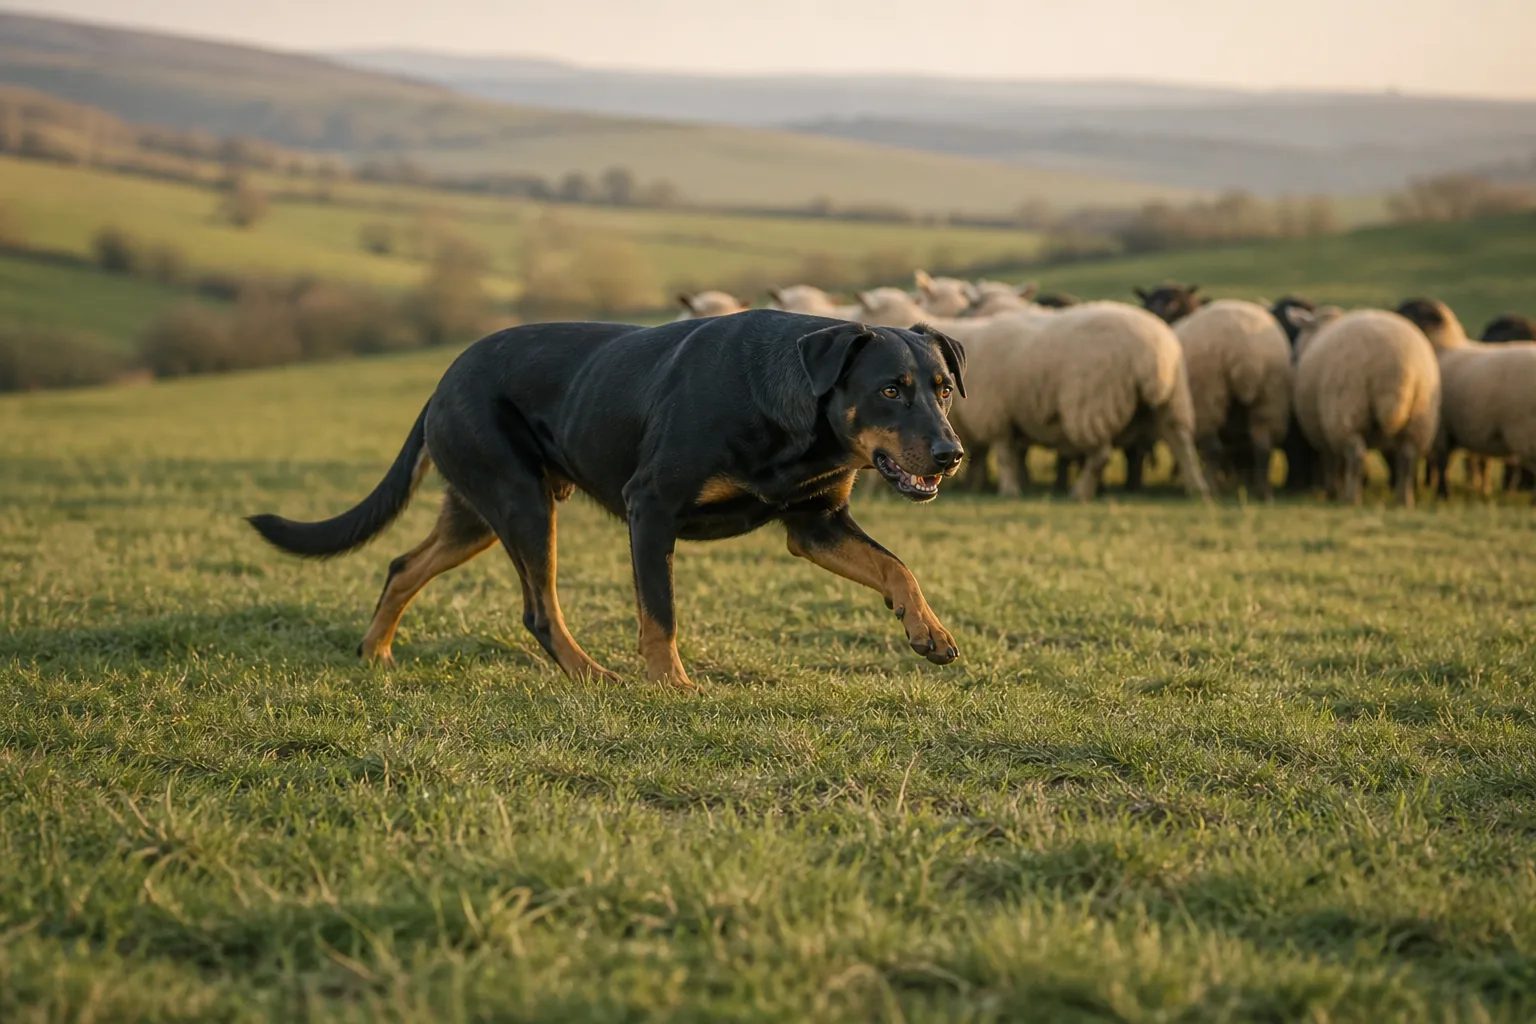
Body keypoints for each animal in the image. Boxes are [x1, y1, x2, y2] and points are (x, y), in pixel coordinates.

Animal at [855, 288, 1209, 501]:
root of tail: (1156, 355)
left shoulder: (994, 414)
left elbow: (1004, 455)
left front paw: (1009, 490)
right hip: (1173, 401)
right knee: (1182, 444)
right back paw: (1198, 488)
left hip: (1091, 403)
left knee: (1099, 455)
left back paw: (1080, 491)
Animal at [1167, 299, 1294, 499]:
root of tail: (1246, 351)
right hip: (1270, 397)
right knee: (1262, 445)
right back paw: (1263, 492)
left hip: (1208, 396)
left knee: (1213, 447)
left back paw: (1211, 487)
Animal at [1287, 306, 1440, 506]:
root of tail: (1395, 369)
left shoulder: (1324, 430)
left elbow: (1331, 461)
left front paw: (1332, 490)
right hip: (1420, 417)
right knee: (1407, 457)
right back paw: (1404, 500)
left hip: (1346, 407)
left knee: (1356, 454)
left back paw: (1351, 498)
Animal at [1395, 298, 1536, 503]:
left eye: (1411, 311)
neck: (1442, 349)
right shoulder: (1448, 429)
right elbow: (1446, 462)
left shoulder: (1442, 428)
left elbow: (1443, 462)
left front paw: (1442, 494)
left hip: (1526, 429)